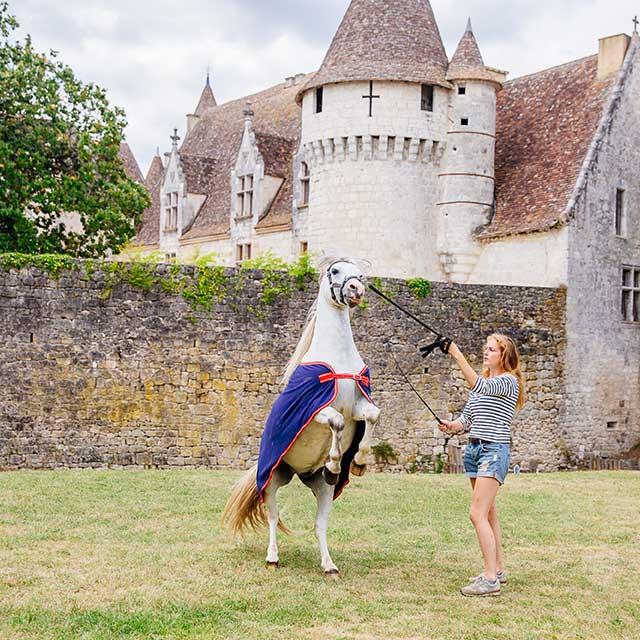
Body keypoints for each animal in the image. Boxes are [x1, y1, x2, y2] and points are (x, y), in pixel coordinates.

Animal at [221, 258, 378, 576]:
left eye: (359, 271)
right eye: (335, 271)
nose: (356, 289)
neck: (338, 360)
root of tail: (299, 473)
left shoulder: (359, 407)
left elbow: (372, 415)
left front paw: (358, 462)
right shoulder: (315, 411)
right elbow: (336, 422)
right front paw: (334, 461)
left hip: (323, 489)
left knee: (320, 525)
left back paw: (329, 565)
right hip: (272, 480)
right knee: (271, 516)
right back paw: (272, 557)